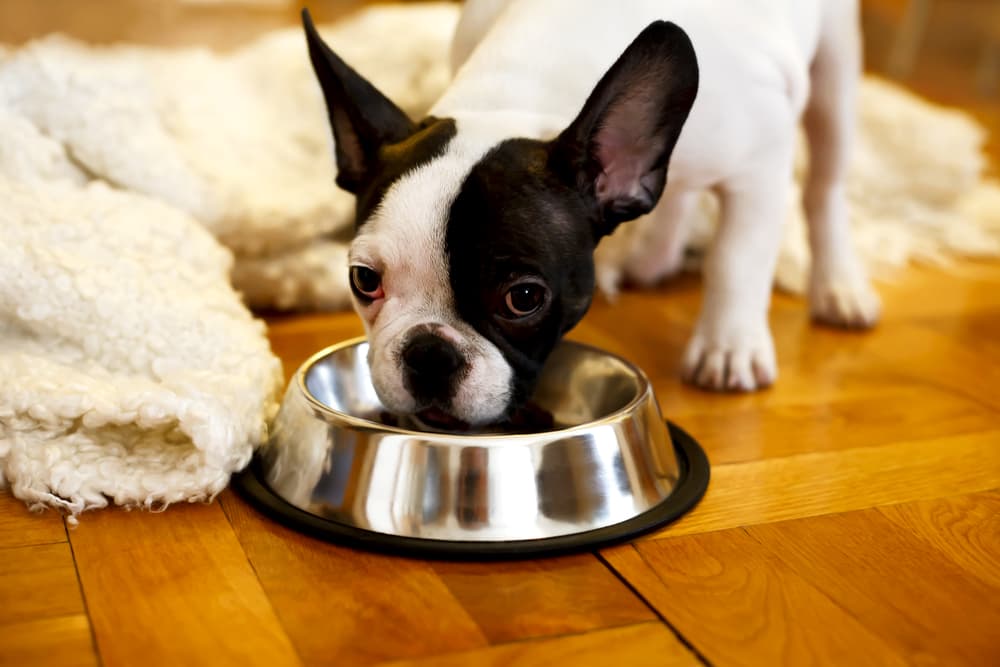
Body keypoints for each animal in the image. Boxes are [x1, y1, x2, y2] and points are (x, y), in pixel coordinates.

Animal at [300, 0, 880, 428]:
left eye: (523, 298)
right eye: (364, 281)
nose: (429, 353)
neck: (519, 97)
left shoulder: (760, 162)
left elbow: (737, 259)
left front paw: (729, 346)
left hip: (834, 69)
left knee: (825, 184)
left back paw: (839, 286)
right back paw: (654, 257)